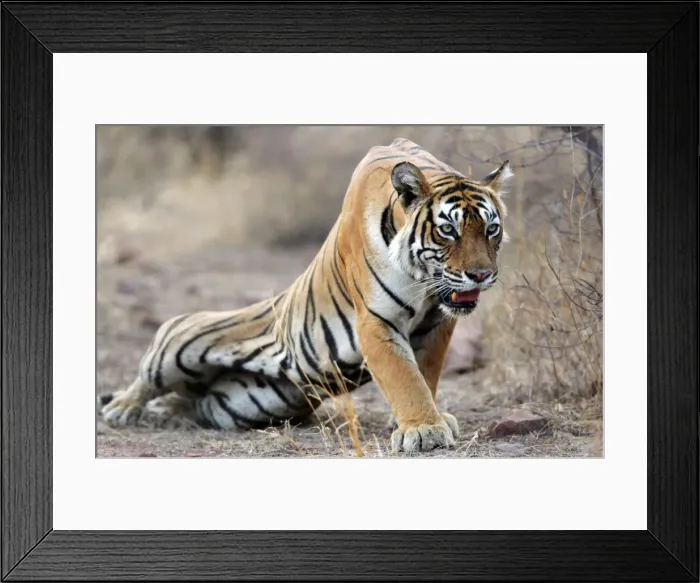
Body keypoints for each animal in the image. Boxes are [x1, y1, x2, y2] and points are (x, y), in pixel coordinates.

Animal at [97, 138, 511, 453]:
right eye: (448, 230)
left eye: (491, 229)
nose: (481, 275)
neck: (425, 282)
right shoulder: (376, 321)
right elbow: (405, 377)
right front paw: (424, 429)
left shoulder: (436, 322)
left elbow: (426, 373)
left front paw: (424, 420)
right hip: (178, 344)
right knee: (147, 375)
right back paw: (123, 408)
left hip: (237, 405)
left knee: (189, 401)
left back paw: (167, 410)